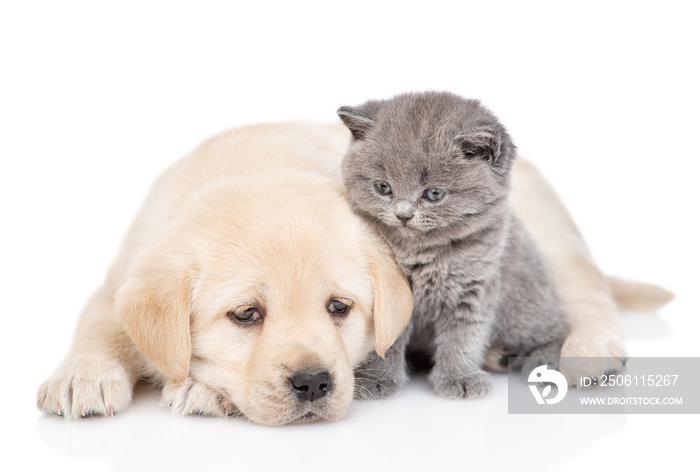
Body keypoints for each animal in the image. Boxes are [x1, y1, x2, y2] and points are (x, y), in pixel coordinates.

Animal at [340, 91, 568, 398]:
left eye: (434, 194)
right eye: (383, 187)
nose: (403, 215)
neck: (419, 252)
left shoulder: (473, 287)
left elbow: (463, 336)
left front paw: (459, 377)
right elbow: (386, 339)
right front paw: (377, 378)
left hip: (525, 308)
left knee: (558, 330)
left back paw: (544, 364)